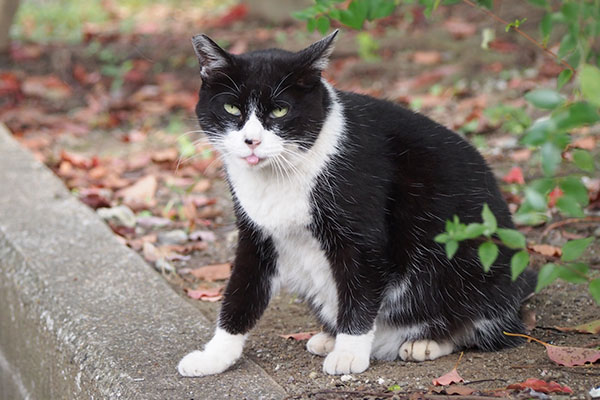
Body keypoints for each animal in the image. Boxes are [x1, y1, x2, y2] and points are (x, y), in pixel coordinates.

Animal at [177, 29, 536, 376]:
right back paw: (328, 337)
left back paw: (424, 343)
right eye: (232, 109)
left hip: (479, 267)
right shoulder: (255, 233)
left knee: (481, 328)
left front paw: (349, 353)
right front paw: (215, 356)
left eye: (280, 110)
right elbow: (240, 293)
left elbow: (360, 291)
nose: (251, 141)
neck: (278, 177)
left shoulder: (361, 235)